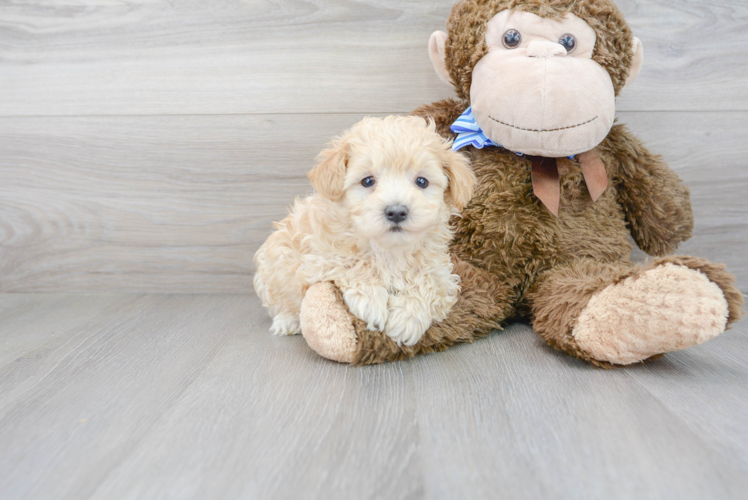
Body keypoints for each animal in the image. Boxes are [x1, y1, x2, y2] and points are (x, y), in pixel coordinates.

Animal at [251, 115, 474, 346]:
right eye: (367, 181)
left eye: (422, 181)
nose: (396, 211)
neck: (388, 250)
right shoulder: (317, 259)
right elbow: (351, 264)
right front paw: (371, 301)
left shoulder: (442, 274)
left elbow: (429, 282)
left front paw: (407, 318)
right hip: (274, 263)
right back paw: (287, 320)